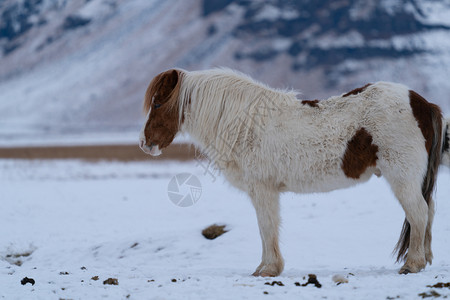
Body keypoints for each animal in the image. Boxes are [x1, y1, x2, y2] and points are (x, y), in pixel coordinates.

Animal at [139, 68, 448, 276]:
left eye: (158, 103)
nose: (145, 144)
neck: (245, 123)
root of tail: (423, 104)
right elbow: (268, 228)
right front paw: (268, 267)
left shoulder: (263, 189)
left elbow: (266, 227)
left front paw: (267, 269)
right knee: (429, 211)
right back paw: (425, 259)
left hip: (402, 177)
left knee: (419, 213)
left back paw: (413, 264)